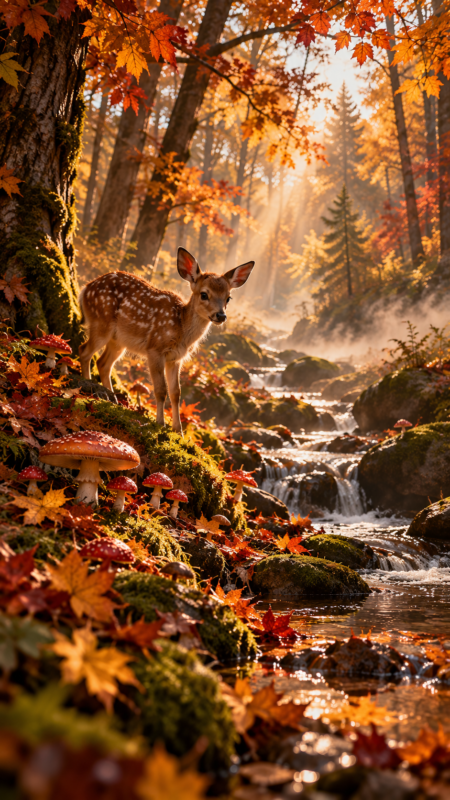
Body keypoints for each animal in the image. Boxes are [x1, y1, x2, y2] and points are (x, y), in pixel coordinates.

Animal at [78, 248, 255, 434]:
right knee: (84, 351)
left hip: (118, 341)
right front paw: (160, 423)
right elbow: (161, 389)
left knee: (103, 363)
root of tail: (85, 288)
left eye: (228, 297)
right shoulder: (155, 349)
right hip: (101, 322)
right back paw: (88, 385)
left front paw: (178, 430)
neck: (181, 329)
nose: (221, 315)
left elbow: (176, 392)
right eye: (204, 294)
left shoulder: (175, 358)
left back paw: (113, 398)